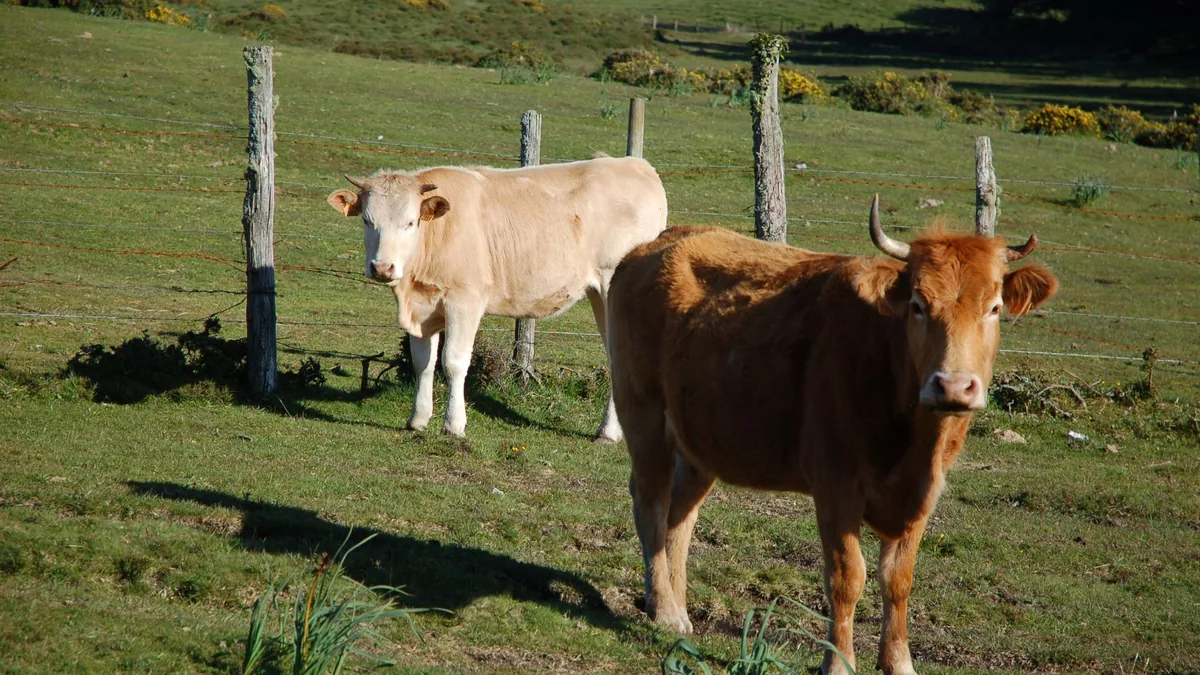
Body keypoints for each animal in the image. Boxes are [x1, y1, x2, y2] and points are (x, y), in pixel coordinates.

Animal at [327, 155, 668, 441]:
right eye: (367, 221)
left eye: (410, 222)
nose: (382, 267)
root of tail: (636, 164)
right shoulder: (424, 308)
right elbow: (423, 362)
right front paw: (418, 419)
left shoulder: (464, 301)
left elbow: (453, 362)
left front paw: (454, 425)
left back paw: (610, 433)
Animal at [605, 196, 1058, 675]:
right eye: (918, 305)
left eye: (994, 307)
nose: (953, 386)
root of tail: (659, 243)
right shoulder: (836, 486)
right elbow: (847, 577)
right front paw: (839, 661)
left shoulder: (923, 494)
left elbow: (899, 579)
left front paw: (899, 661)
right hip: (643, 414)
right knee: (651, 503)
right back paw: (665, 608)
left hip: (699, 441)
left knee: (680, 515)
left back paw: (675, 605)